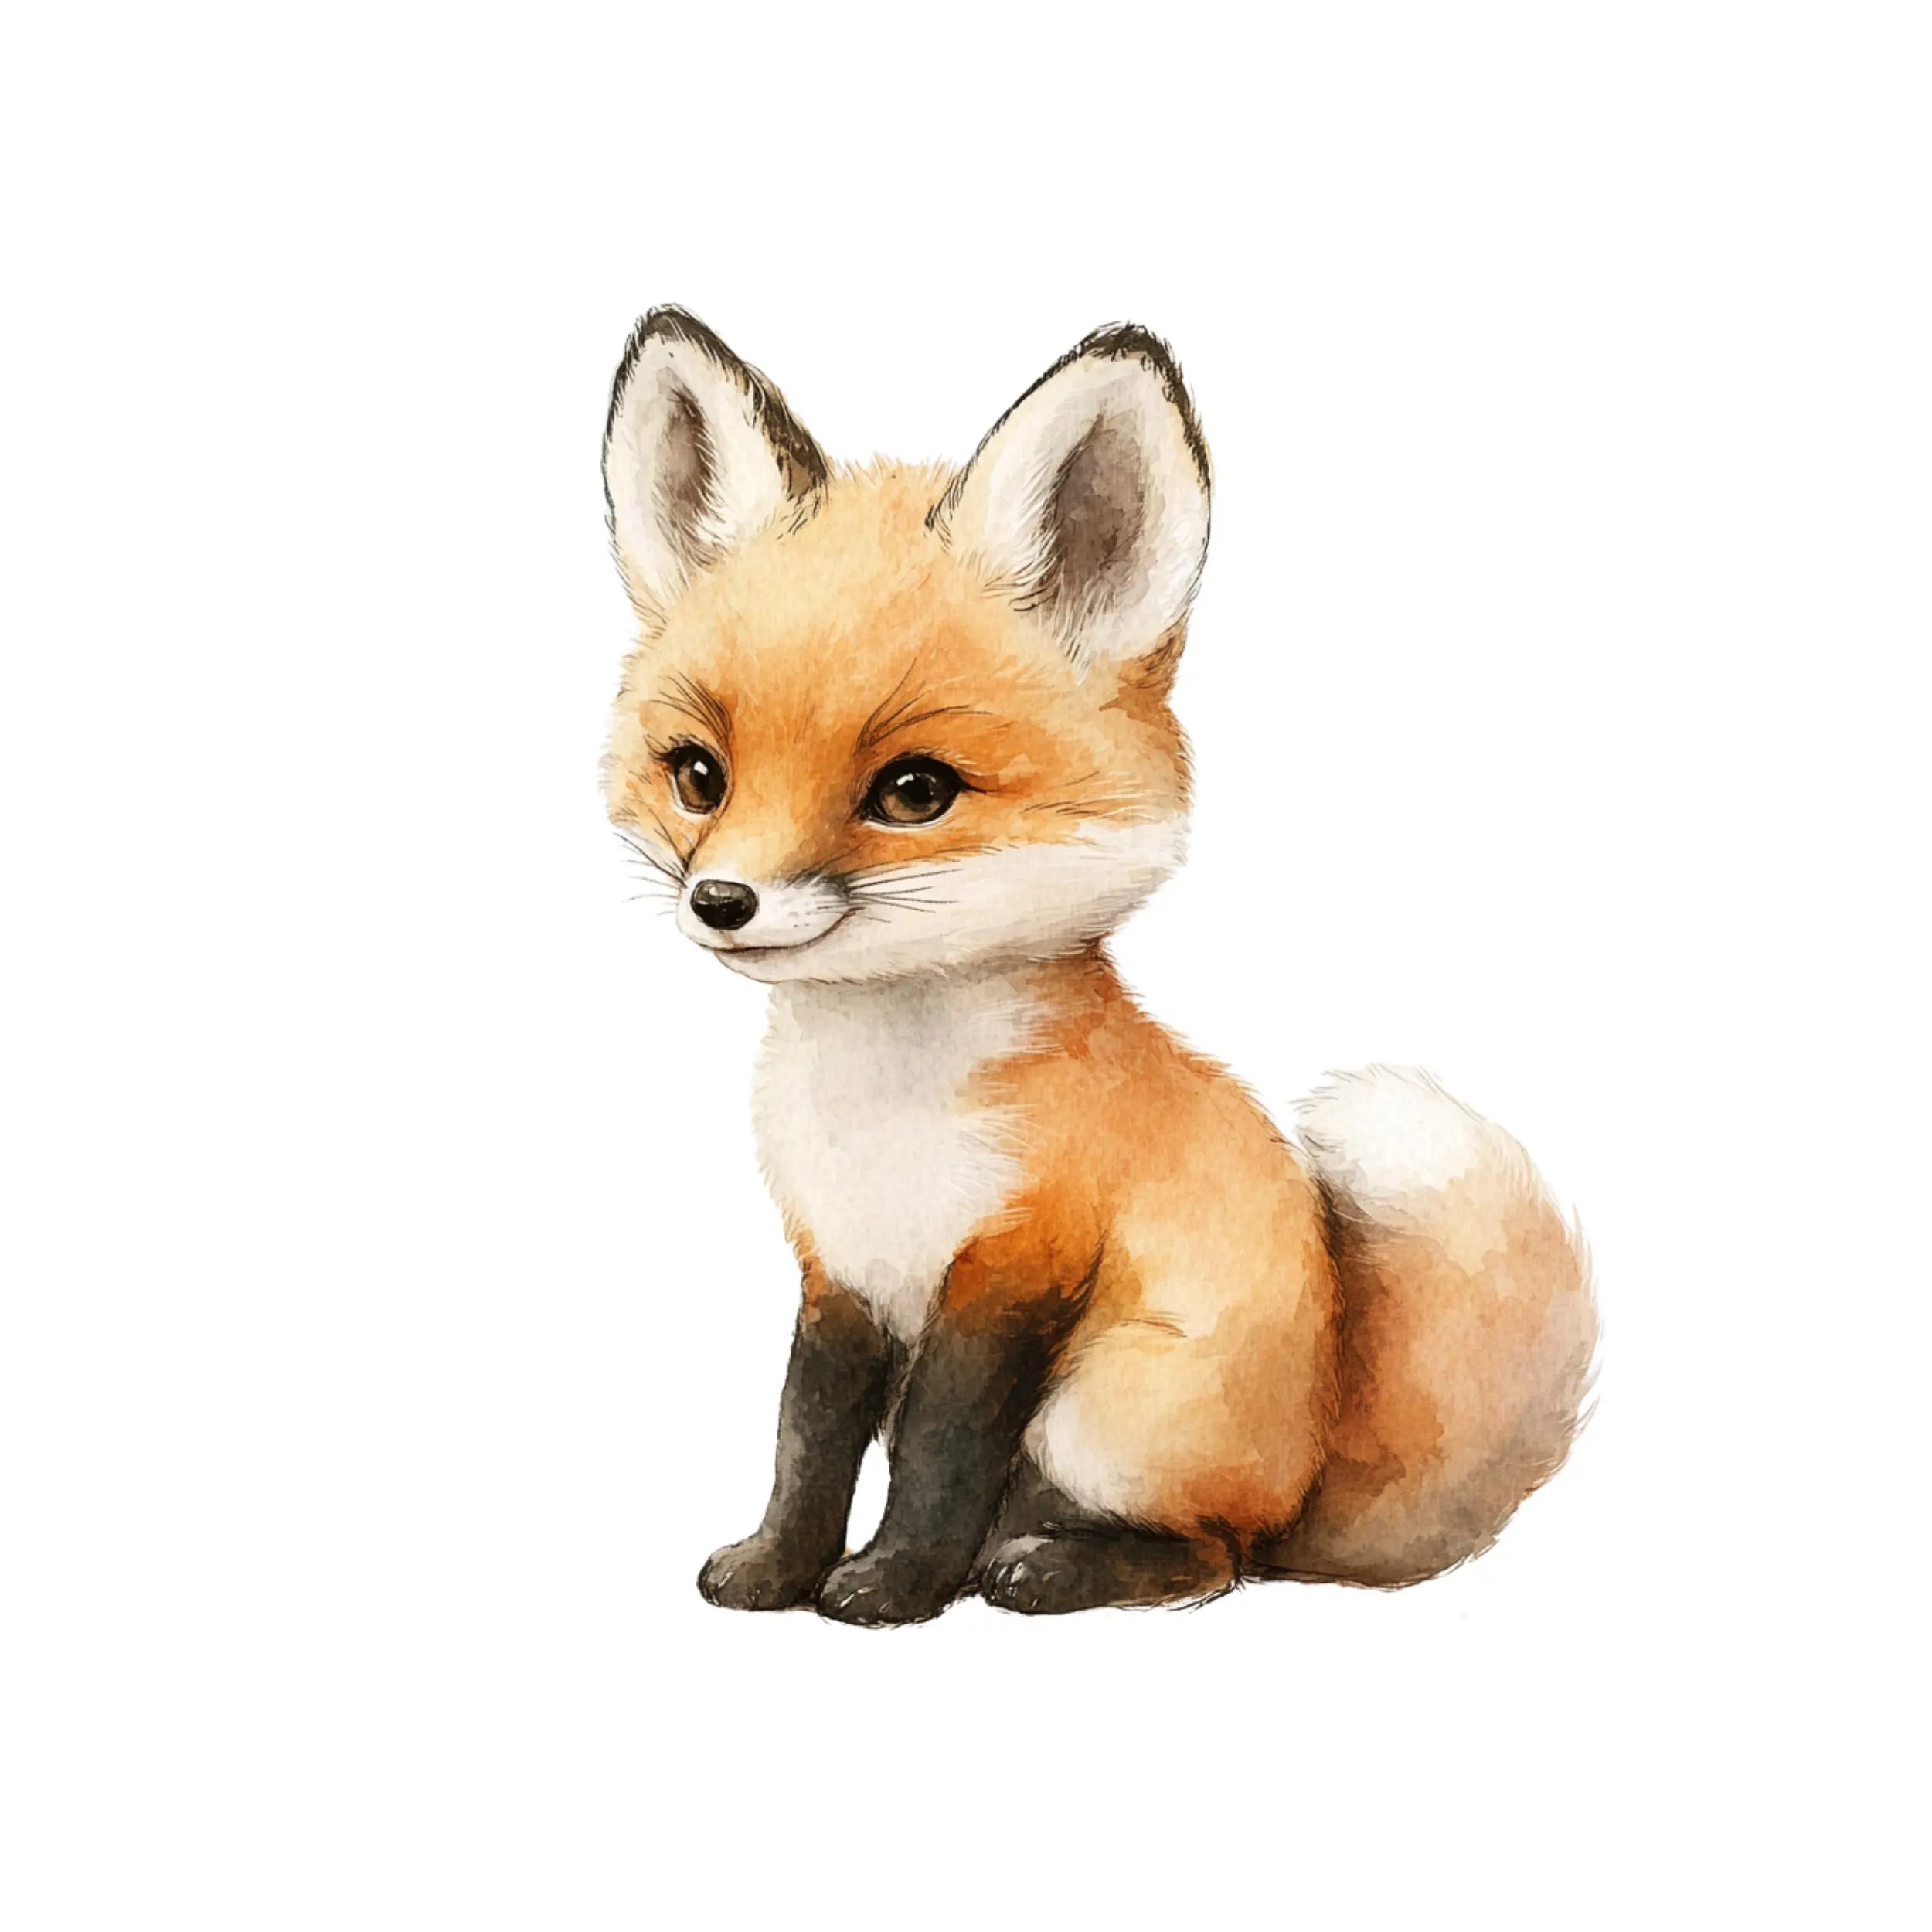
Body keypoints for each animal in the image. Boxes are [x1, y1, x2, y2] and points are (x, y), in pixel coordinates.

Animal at [602, 307, 1598, 1623]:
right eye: (699, 776)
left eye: (913, 792)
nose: (724, 902)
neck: (881, 1112)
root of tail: (1311, 1476)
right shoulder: (839, 1268)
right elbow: (806, 1434)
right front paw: (777, 1568)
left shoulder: (1019, 1266)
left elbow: (939, 1448)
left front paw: (891, 1587)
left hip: (1105, 1411)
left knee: (1217, 1558)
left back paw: (1046, 1569)